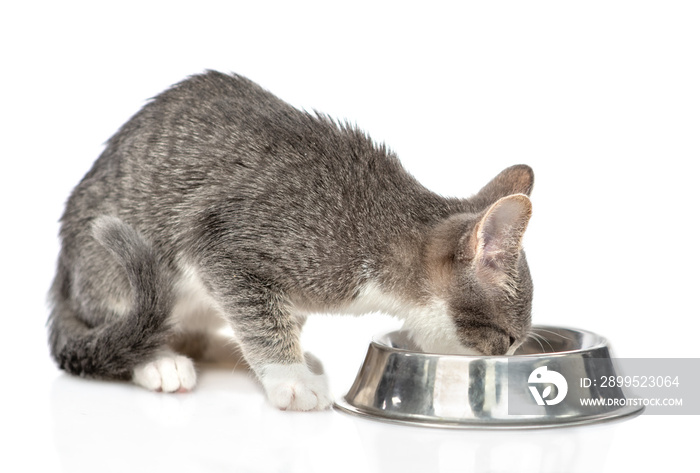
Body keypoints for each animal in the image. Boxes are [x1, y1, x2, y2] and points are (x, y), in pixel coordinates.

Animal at [46, 70, 532, 410]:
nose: (512, 358)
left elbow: (279, 317)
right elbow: (257, 313)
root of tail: (63, 271)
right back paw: (158, 359)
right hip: (112, 270)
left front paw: (289, 358)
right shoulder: (227, 243)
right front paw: (290, 377)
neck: (379, 227)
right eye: (508, 339)